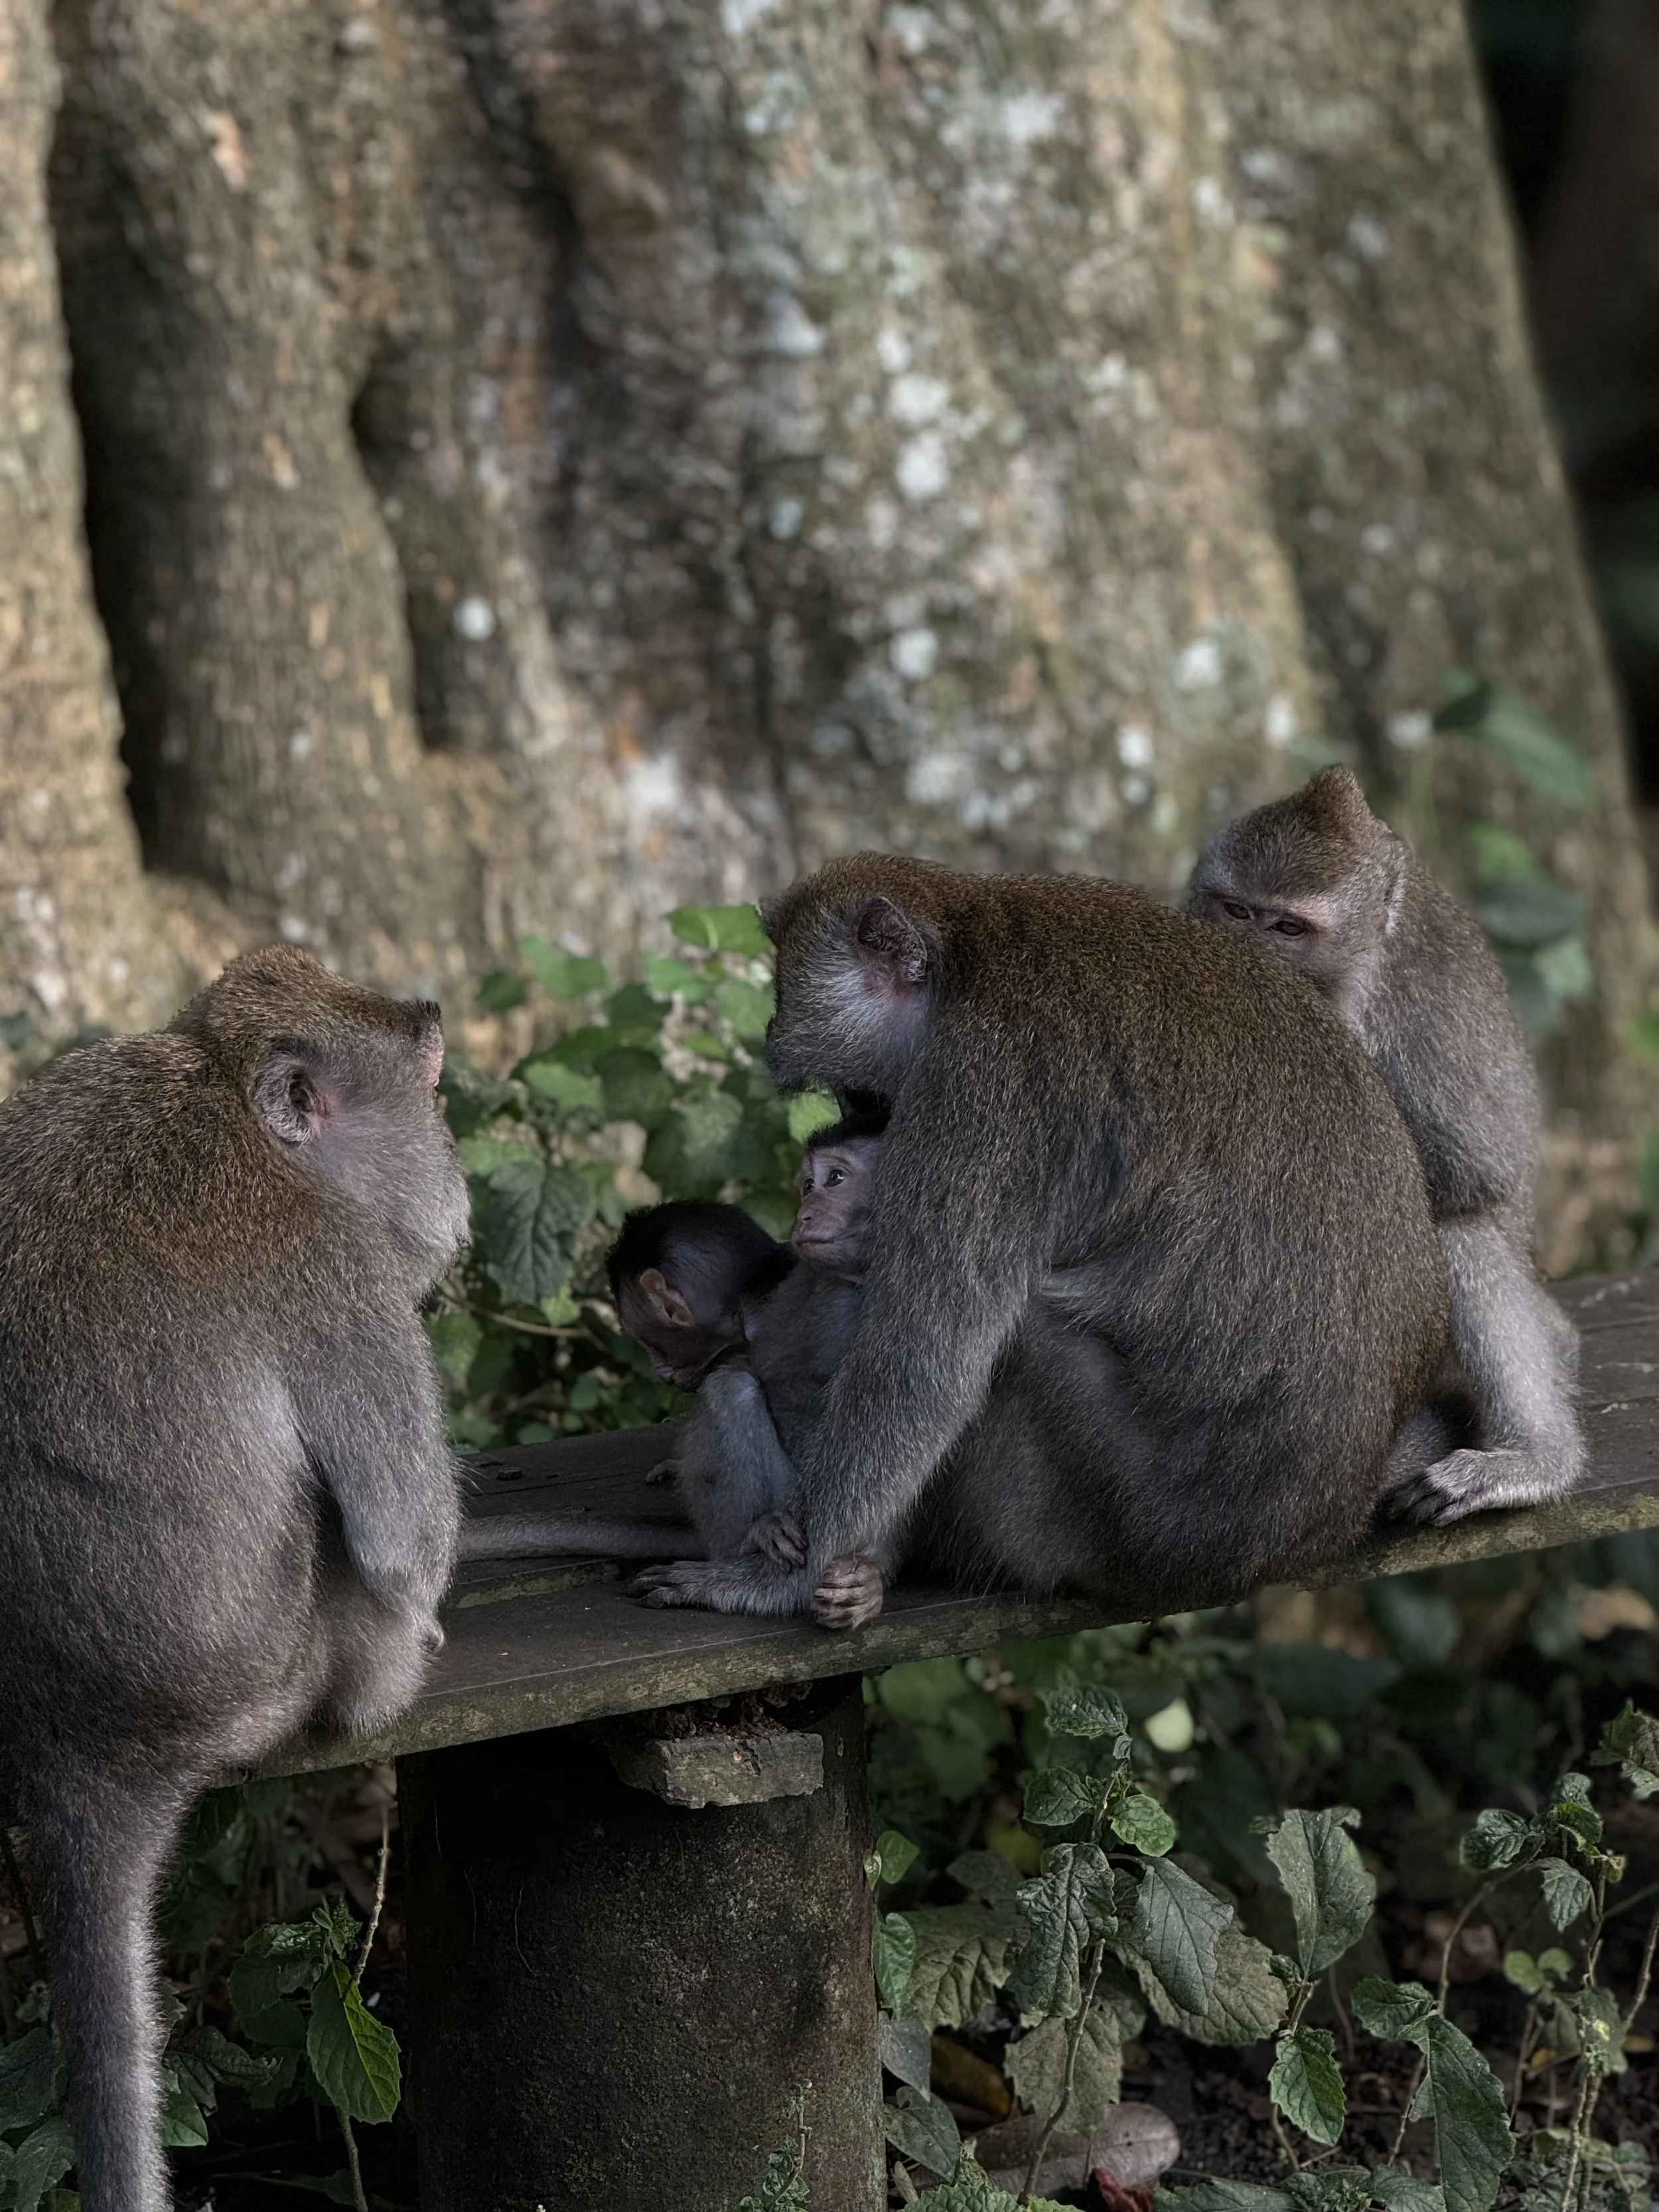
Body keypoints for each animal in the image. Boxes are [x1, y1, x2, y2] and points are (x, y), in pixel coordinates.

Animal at [0, 945, 469, 2212]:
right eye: (432, 1089)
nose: (457, 1175)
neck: (217, 1083)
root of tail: (75, 1736)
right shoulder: (336, 1268)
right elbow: (403, 1537)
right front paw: (428, 1601)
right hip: (279, 1679)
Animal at [626, 854, 1452, 1628]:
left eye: (784, 990)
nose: (770, 1031)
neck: (965, 953)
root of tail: (1302, 1540)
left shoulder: (980, 1096)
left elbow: (923, 1373)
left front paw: (776, 1584)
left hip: (1127, 1525)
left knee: (1016, 1344)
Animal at [1188, 764, 1584, 1524]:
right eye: (1236, 913)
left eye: (1288, 927)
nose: (1247, 960)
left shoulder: (1394, 1022)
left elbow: (1476, 1171)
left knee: (1459, 1232)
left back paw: (1535, 1459)